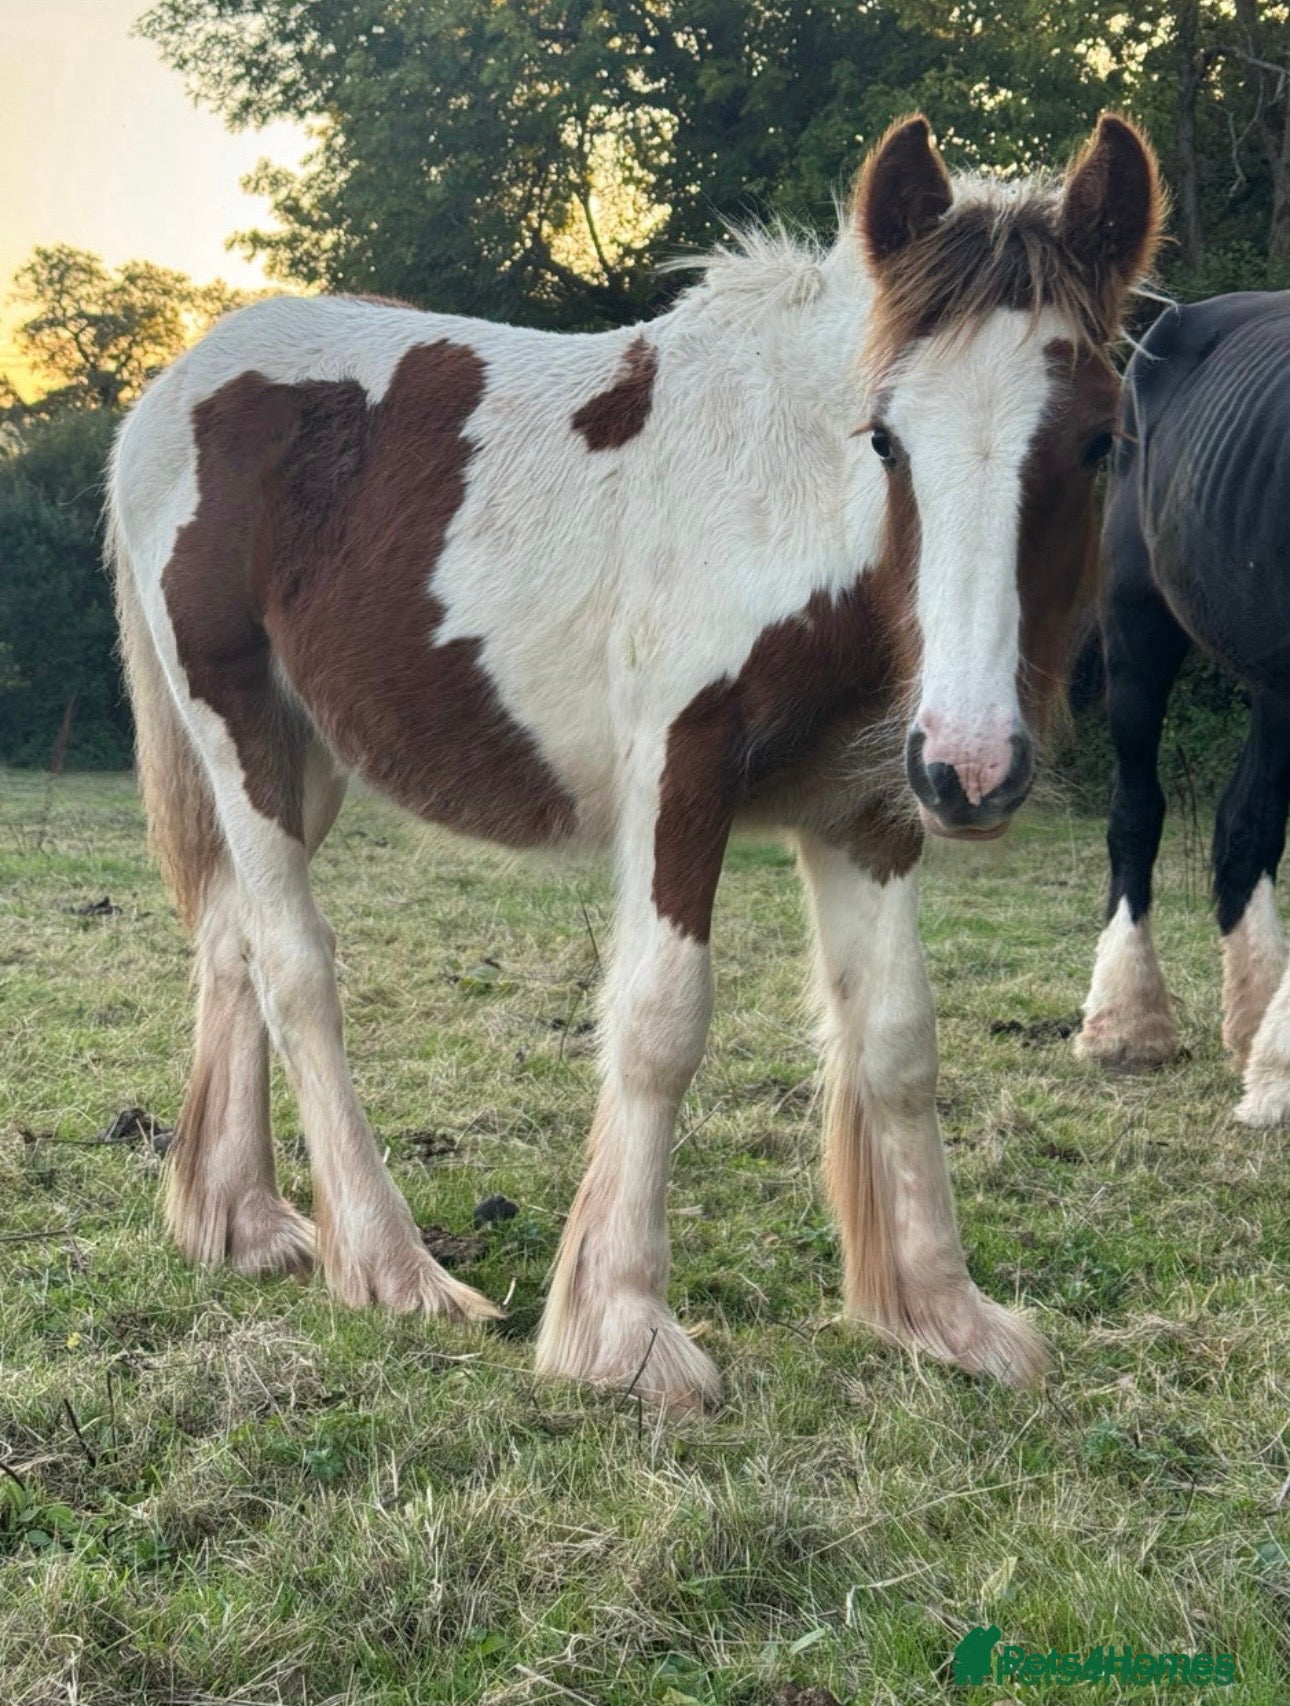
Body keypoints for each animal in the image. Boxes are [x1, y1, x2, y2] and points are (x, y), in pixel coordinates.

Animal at [109, 112, 1161, 1413]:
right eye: (887, 436)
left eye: (1098, 439)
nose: (973, 767)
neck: (791, 506)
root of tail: (169, 395)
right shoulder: (683, 775)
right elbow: (661, 1020)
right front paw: (622, 1328)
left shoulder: (866, 808)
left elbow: (899, 1038)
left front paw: (942, 1313)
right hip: (238, 724)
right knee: (295, 964)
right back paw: (392, 1266)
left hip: (303, 759)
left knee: (231, 940)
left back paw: (238, 1220)